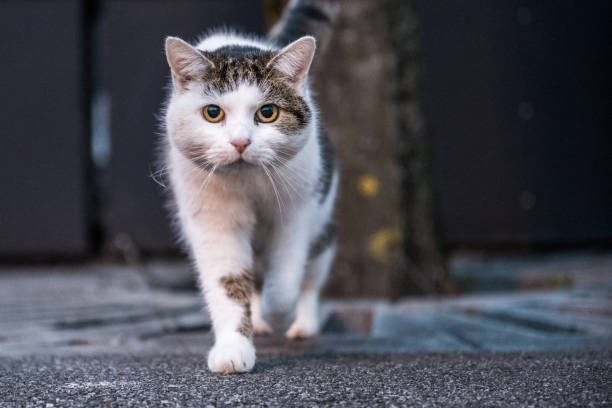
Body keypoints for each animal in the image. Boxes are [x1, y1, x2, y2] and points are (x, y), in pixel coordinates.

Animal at [161, 2, 340, 372]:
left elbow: (284, 285)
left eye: (267, 112)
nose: (240, 142)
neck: (249, 185)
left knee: (310, 279)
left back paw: (301, 325)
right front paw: (234, 348)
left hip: (321, 226)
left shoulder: (295, 214)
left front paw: (279, 316)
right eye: (213, 113)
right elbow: (228, 285)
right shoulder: (213, 221)